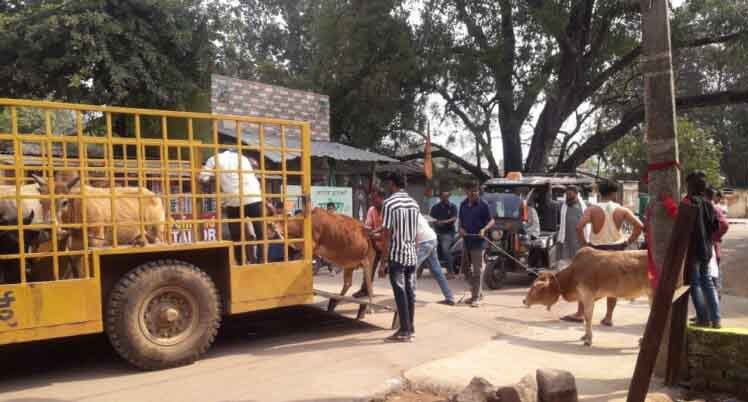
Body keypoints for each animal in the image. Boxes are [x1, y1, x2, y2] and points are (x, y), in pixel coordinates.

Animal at [524, 248, 652, 346]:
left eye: (536, 287)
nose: (524, 300)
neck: (573, 273)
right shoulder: (584, 297)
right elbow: (586, 317)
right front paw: (585, 336)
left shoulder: (588, 295)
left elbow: (588, 317)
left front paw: (588, 339)